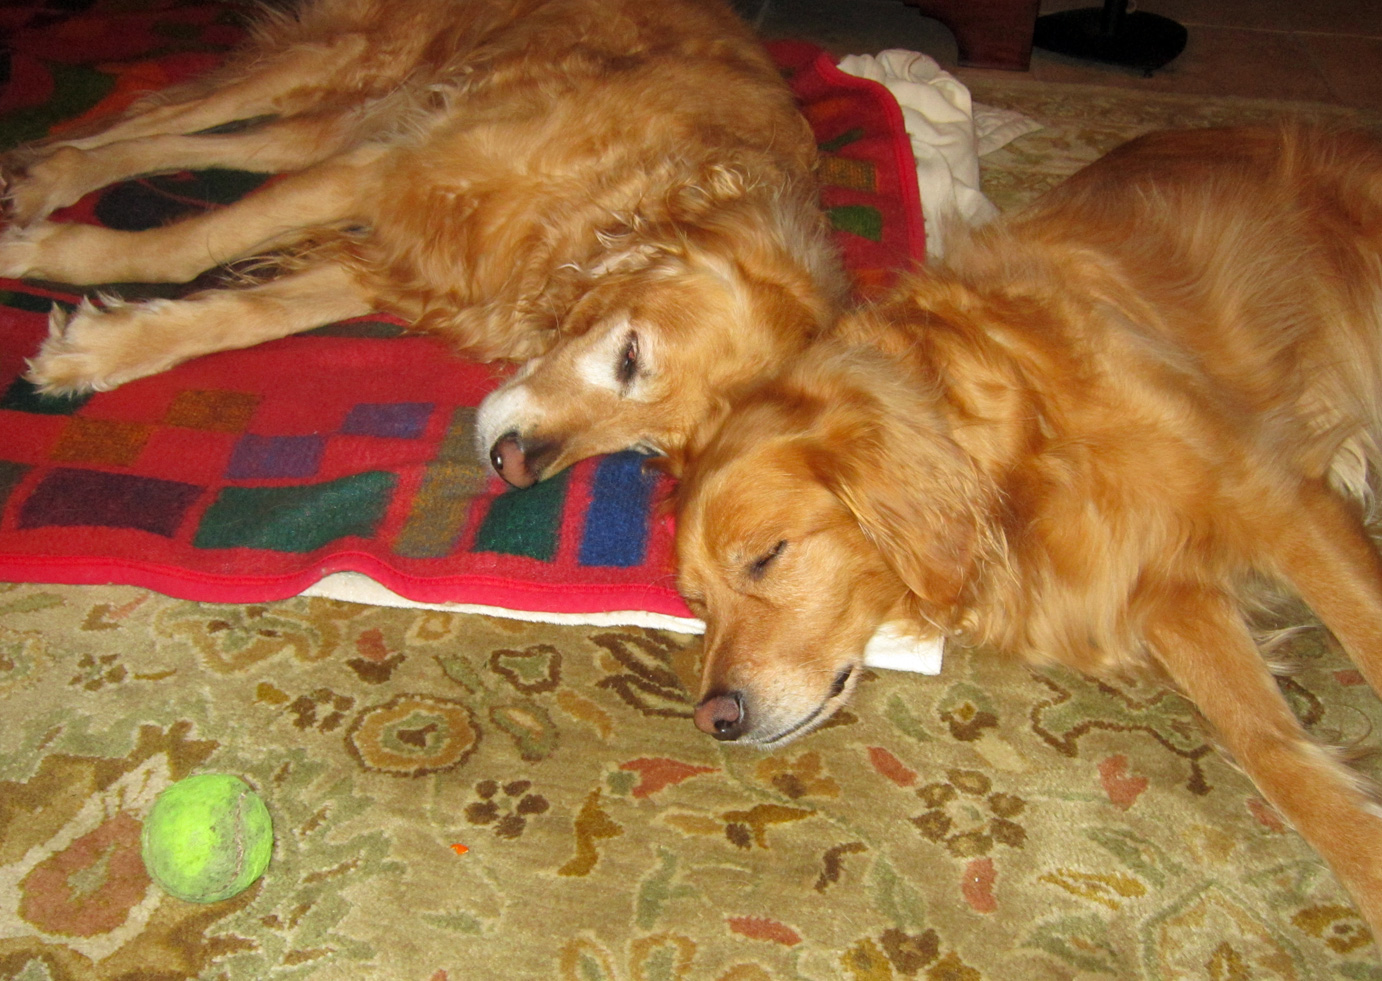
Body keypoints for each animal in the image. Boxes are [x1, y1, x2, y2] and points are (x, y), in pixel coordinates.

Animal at [0, 0, 845, 486]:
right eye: (631, 356)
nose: (517, 468)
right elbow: (188, 244)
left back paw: (43, 170)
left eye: (644, 450)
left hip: (362, 110)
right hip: (350, 61)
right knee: (156, 111)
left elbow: (249, 315)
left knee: (213, 137)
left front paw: (99, 349)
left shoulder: (407, 248)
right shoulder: (387, 172)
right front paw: (44, 262)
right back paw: (38, 178)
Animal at [675, 123, 1382, 937]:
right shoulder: (1166, 589)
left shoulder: (1280, 498)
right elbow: (1272, 748)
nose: (713, 717)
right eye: (696, 602)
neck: (1025, 451)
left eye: (766, 556)